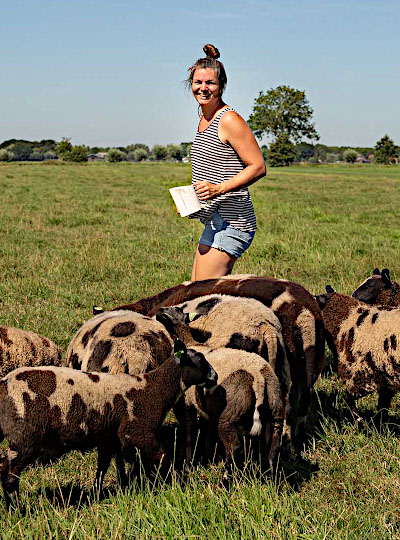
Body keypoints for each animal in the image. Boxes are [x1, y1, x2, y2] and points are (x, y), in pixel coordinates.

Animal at [0, 340, 216, 508]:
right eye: (199, 360)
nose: (215, 377)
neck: (155, 389)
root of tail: (4, 384)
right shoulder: (137, 433)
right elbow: (163, 459)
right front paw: (180, 485)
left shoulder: (109, 440)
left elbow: (105, 468)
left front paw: (104, 493)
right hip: (23, 438)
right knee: (9, 474)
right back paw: (17, 509)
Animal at [170, 346, 282, 476]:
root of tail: (258, 376)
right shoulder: (210, 412)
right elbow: (208, 436)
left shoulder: (188, 404)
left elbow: (189, 435)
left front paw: (188, 466)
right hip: (275, 410)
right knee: (274, 447)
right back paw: (272, 477)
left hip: (229, 416)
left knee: (234, 447)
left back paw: (226, 476)